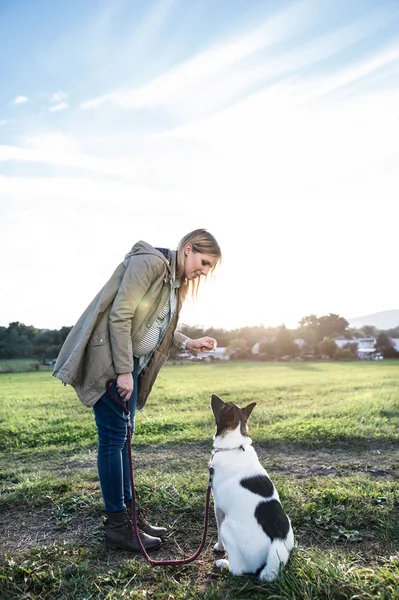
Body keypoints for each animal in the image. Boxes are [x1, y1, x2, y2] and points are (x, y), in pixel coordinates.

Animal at [211, 394, 296, 580]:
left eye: (222, 406)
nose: (213, 395)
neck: (234, 447)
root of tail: (277, 540)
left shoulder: (217, 507)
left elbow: (218, 531)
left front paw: (219, 548)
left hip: (228, 527)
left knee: (238, 570)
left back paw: (224, 564)